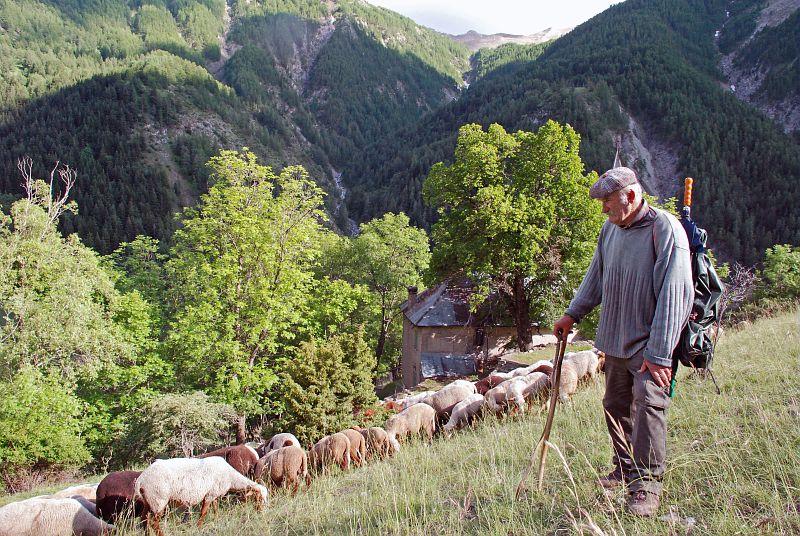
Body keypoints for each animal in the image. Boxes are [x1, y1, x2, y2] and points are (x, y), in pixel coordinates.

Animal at [133, 456, 268, 536]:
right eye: (259, 498)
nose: (262, 513)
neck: (231, 478)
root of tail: (141, 479)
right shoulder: (209, 495)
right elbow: (203, 512)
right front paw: (198, 527)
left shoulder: (214, 494)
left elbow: (215, 509)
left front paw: (216, 520)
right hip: (158, 499)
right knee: (154, 521)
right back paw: (161, 534)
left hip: (148, 500)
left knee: (144, 518)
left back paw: (147, 534)